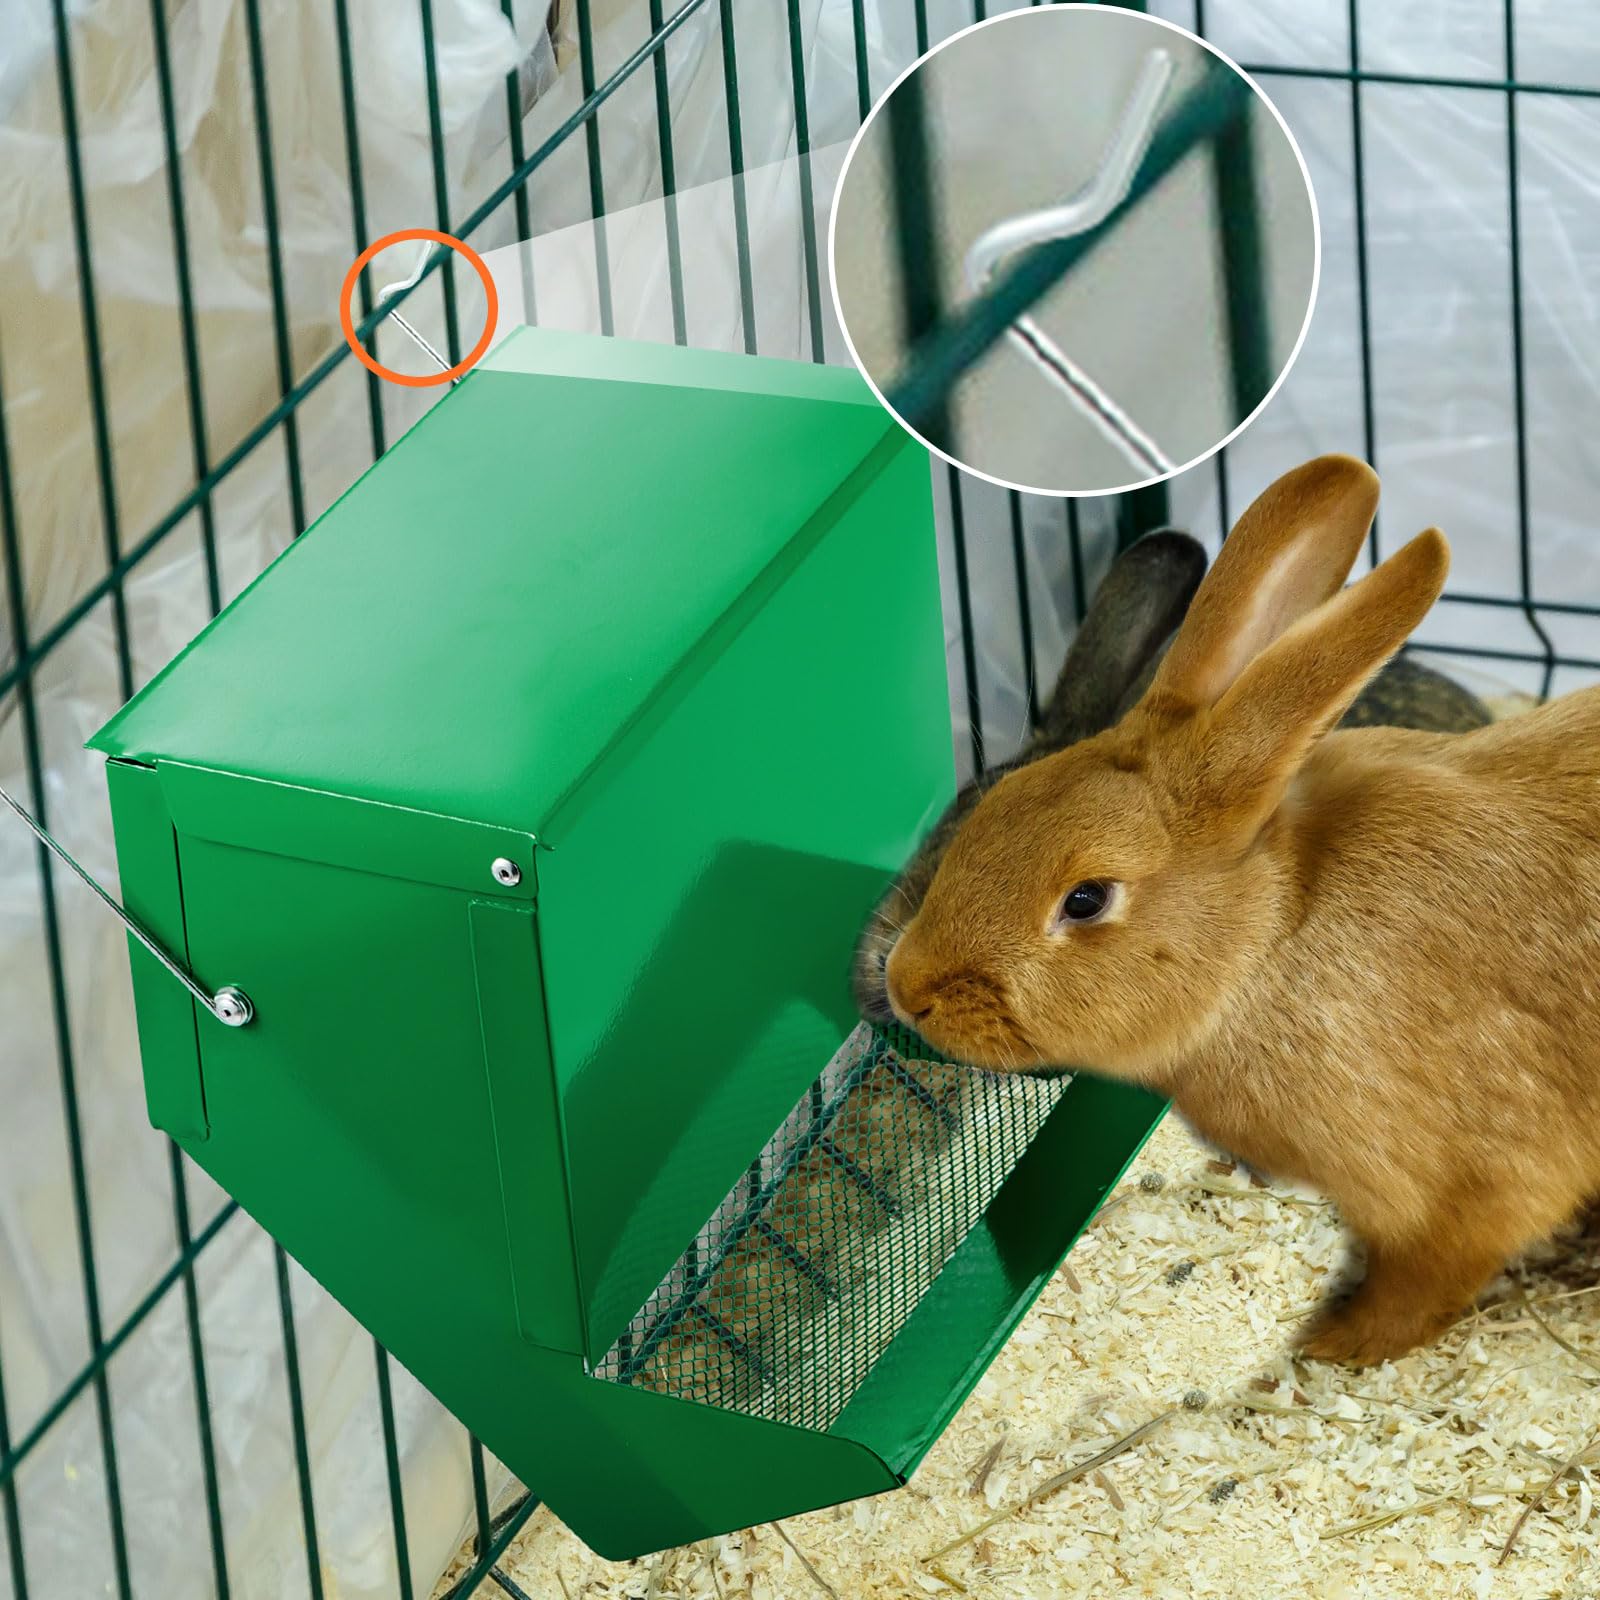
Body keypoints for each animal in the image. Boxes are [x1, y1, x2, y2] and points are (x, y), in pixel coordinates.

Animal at [882, 453, 1600, 1366]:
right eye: (992, 806)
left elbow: (1421, 1286)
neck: (1267, 942)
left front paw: (1331, 1347)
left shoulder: (1476, 1185)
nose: (906, 986)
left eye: (1085, 899)